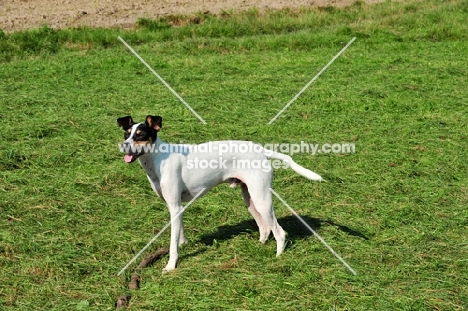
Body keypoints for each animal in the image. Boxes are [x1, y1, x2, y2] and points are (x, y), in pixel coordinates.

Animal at [117, 116, 322, 272]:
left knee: (279, 231)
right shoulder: (175, 207)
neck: (159, 159)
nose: (123, 145)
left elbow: (172, 244)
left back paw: (278, 256)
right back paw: (260, 246)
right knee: (264, 228)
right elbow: (179, 233)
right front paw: (184, 244)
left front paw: (170, 266)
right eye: (126, 134)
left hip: (261, 198)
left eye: (141, 135)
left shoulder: (175, 206)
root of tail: (260, 150)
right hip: (250, 199)